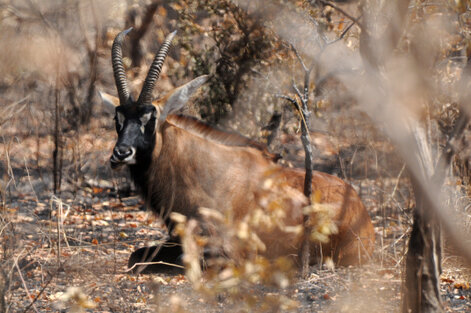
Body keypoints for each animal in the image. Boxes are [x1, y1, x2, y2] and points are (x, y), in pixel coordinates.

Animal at [100, 29, 376, 272]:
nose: (121, 153)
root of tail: (362, 210)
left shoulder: (226, 250)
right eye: (118, 118)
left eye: (150, 118)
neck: (202, 170)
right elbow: (136, 256)